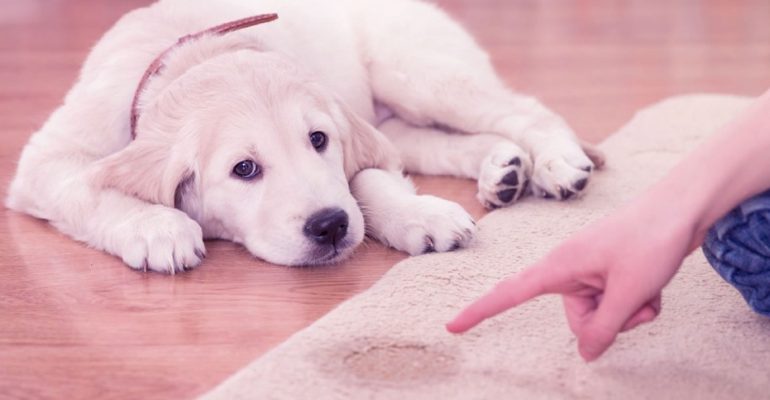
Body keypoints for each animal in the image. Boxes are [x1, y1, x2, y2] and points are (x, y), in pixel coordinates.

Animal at [4, 0, 600, 272]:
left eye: (319, 140)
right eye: (244, 169)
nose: (330, 226)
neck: (192, 53)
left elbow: (367, 182)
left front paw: (419, 215)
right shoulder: (47, 162)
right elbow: (88, 190)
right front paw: (156, 228)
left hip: (416, 70)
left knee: (520, 108)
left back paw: (555, 162)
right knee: (431, 139)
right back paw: (503, 169)